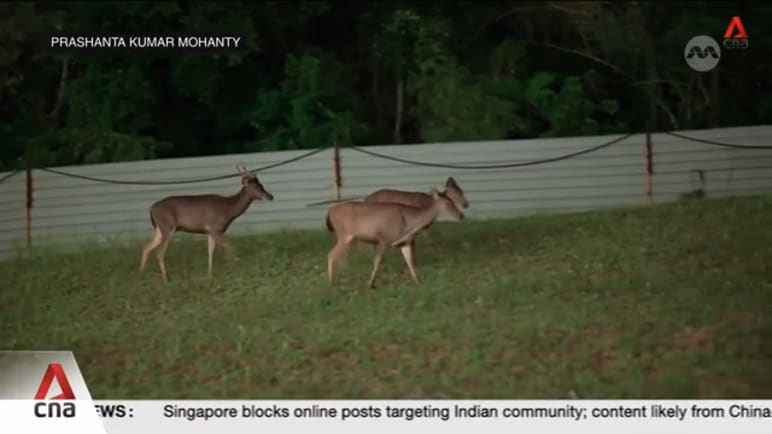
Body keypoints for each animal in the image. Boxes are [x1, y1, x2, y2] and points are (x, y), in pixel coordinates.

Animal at [139, 164, 274, 282]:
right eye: (256, 187)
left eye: (261, 184)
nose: (270, 197)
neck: (229, 210)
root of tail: (151, 209)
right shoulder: (216, 229)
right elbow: (229, 247)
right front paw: (236, 267)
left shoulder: (209, 231)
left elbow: (210, 252)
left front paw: (209, 275)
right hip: (167, 226)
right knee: (159, 252)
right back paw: (166, 279)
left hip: (159, 229)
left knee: (147, 247)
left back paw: (141, 273)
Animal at [325, 188, 464, 289]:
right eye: (448, 202)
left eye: (452, 199)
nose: (461, 215)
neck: (409, 223)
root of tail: (329, 213)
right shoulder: (383, 238)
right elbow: (377, 261)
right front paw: (370, 284)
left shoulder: (404, 242)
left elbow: (409, 261)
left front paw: (418, 281)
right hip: (344, 234)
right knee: (331, 255)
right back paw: (330, 283)